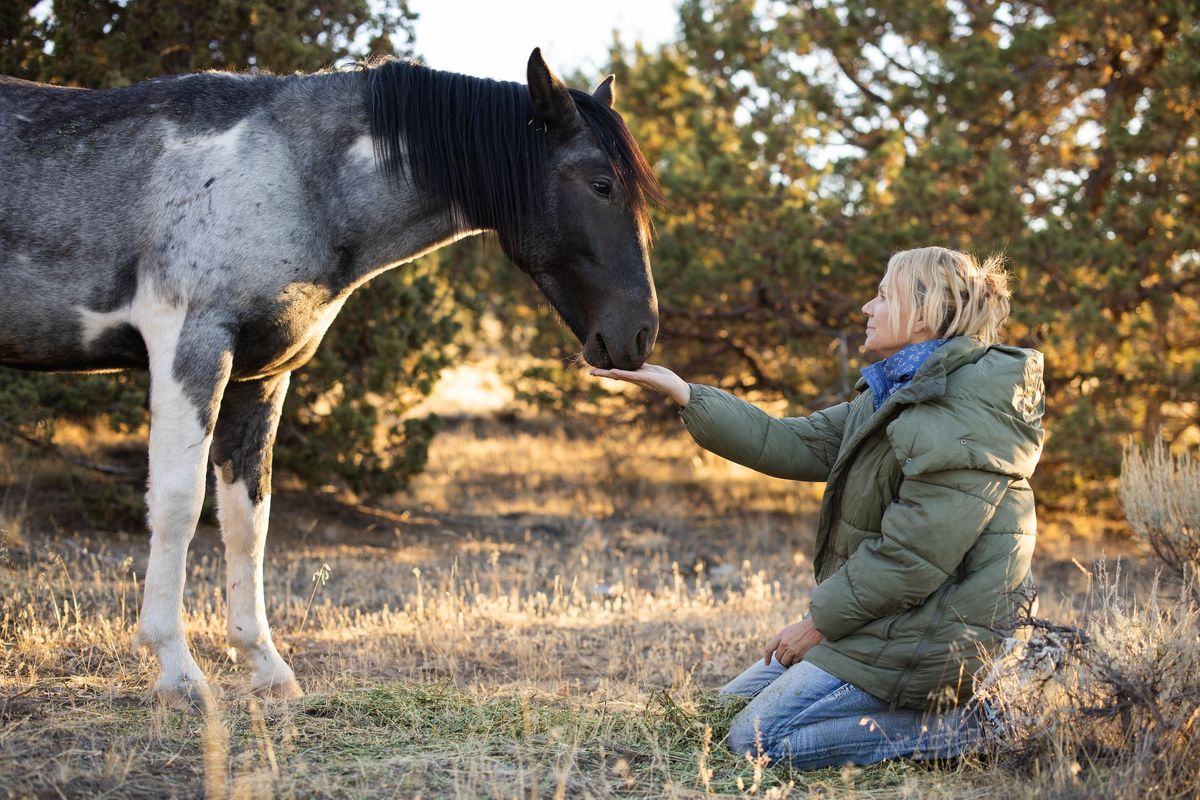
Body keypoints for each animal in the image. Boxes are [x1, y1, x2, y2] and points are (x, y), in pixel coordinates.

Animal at [0, 48, 661, 709]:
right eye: (601, 185)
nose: (639, 335)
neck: (290, 175)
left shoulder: (261, 375)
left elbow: (247, 517)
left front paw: (265, 665)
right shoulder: (190, 346)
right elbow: (178, 505)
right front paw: (179, 672)